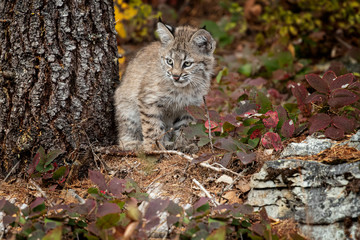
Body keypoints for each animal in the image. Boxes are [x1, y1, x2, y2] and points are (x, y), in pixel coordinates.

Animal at [115, 21, 215, 151]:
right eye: (169, 61)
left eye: (187, 63)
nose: (175, 76)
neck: (184, 88)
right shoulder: (148, 100)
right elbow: (152, 126)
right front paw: (153, 148)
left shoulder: (190, 105)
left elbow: (184, 127)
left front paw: (182, 144)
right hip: (127, 106)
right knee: (126, 129)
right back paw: (132, 144)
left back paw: (168, 144)